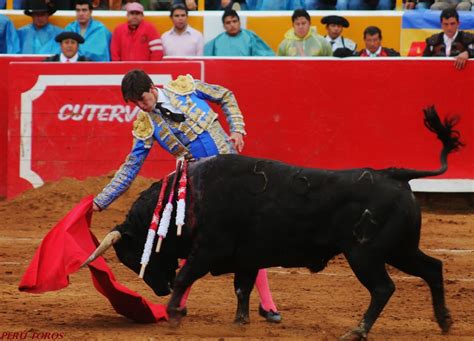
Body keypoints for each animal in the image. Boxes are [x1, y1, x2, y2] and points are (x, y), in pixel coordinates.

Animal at [83, 107, 462, 338]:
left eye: (133, 255)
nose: (159, 289)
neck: (189, 197)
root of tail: (394, 174)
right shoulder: (246, 257)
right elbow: (242, 287)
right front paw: (240, 322)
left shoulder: (208, 249)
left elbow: (187, 275)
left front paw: (174, 313)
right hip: (400, 249)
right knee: (433, 268)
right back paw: (444, 321)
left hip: (366, 254)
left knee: (384, 288)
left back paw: (358, 330)